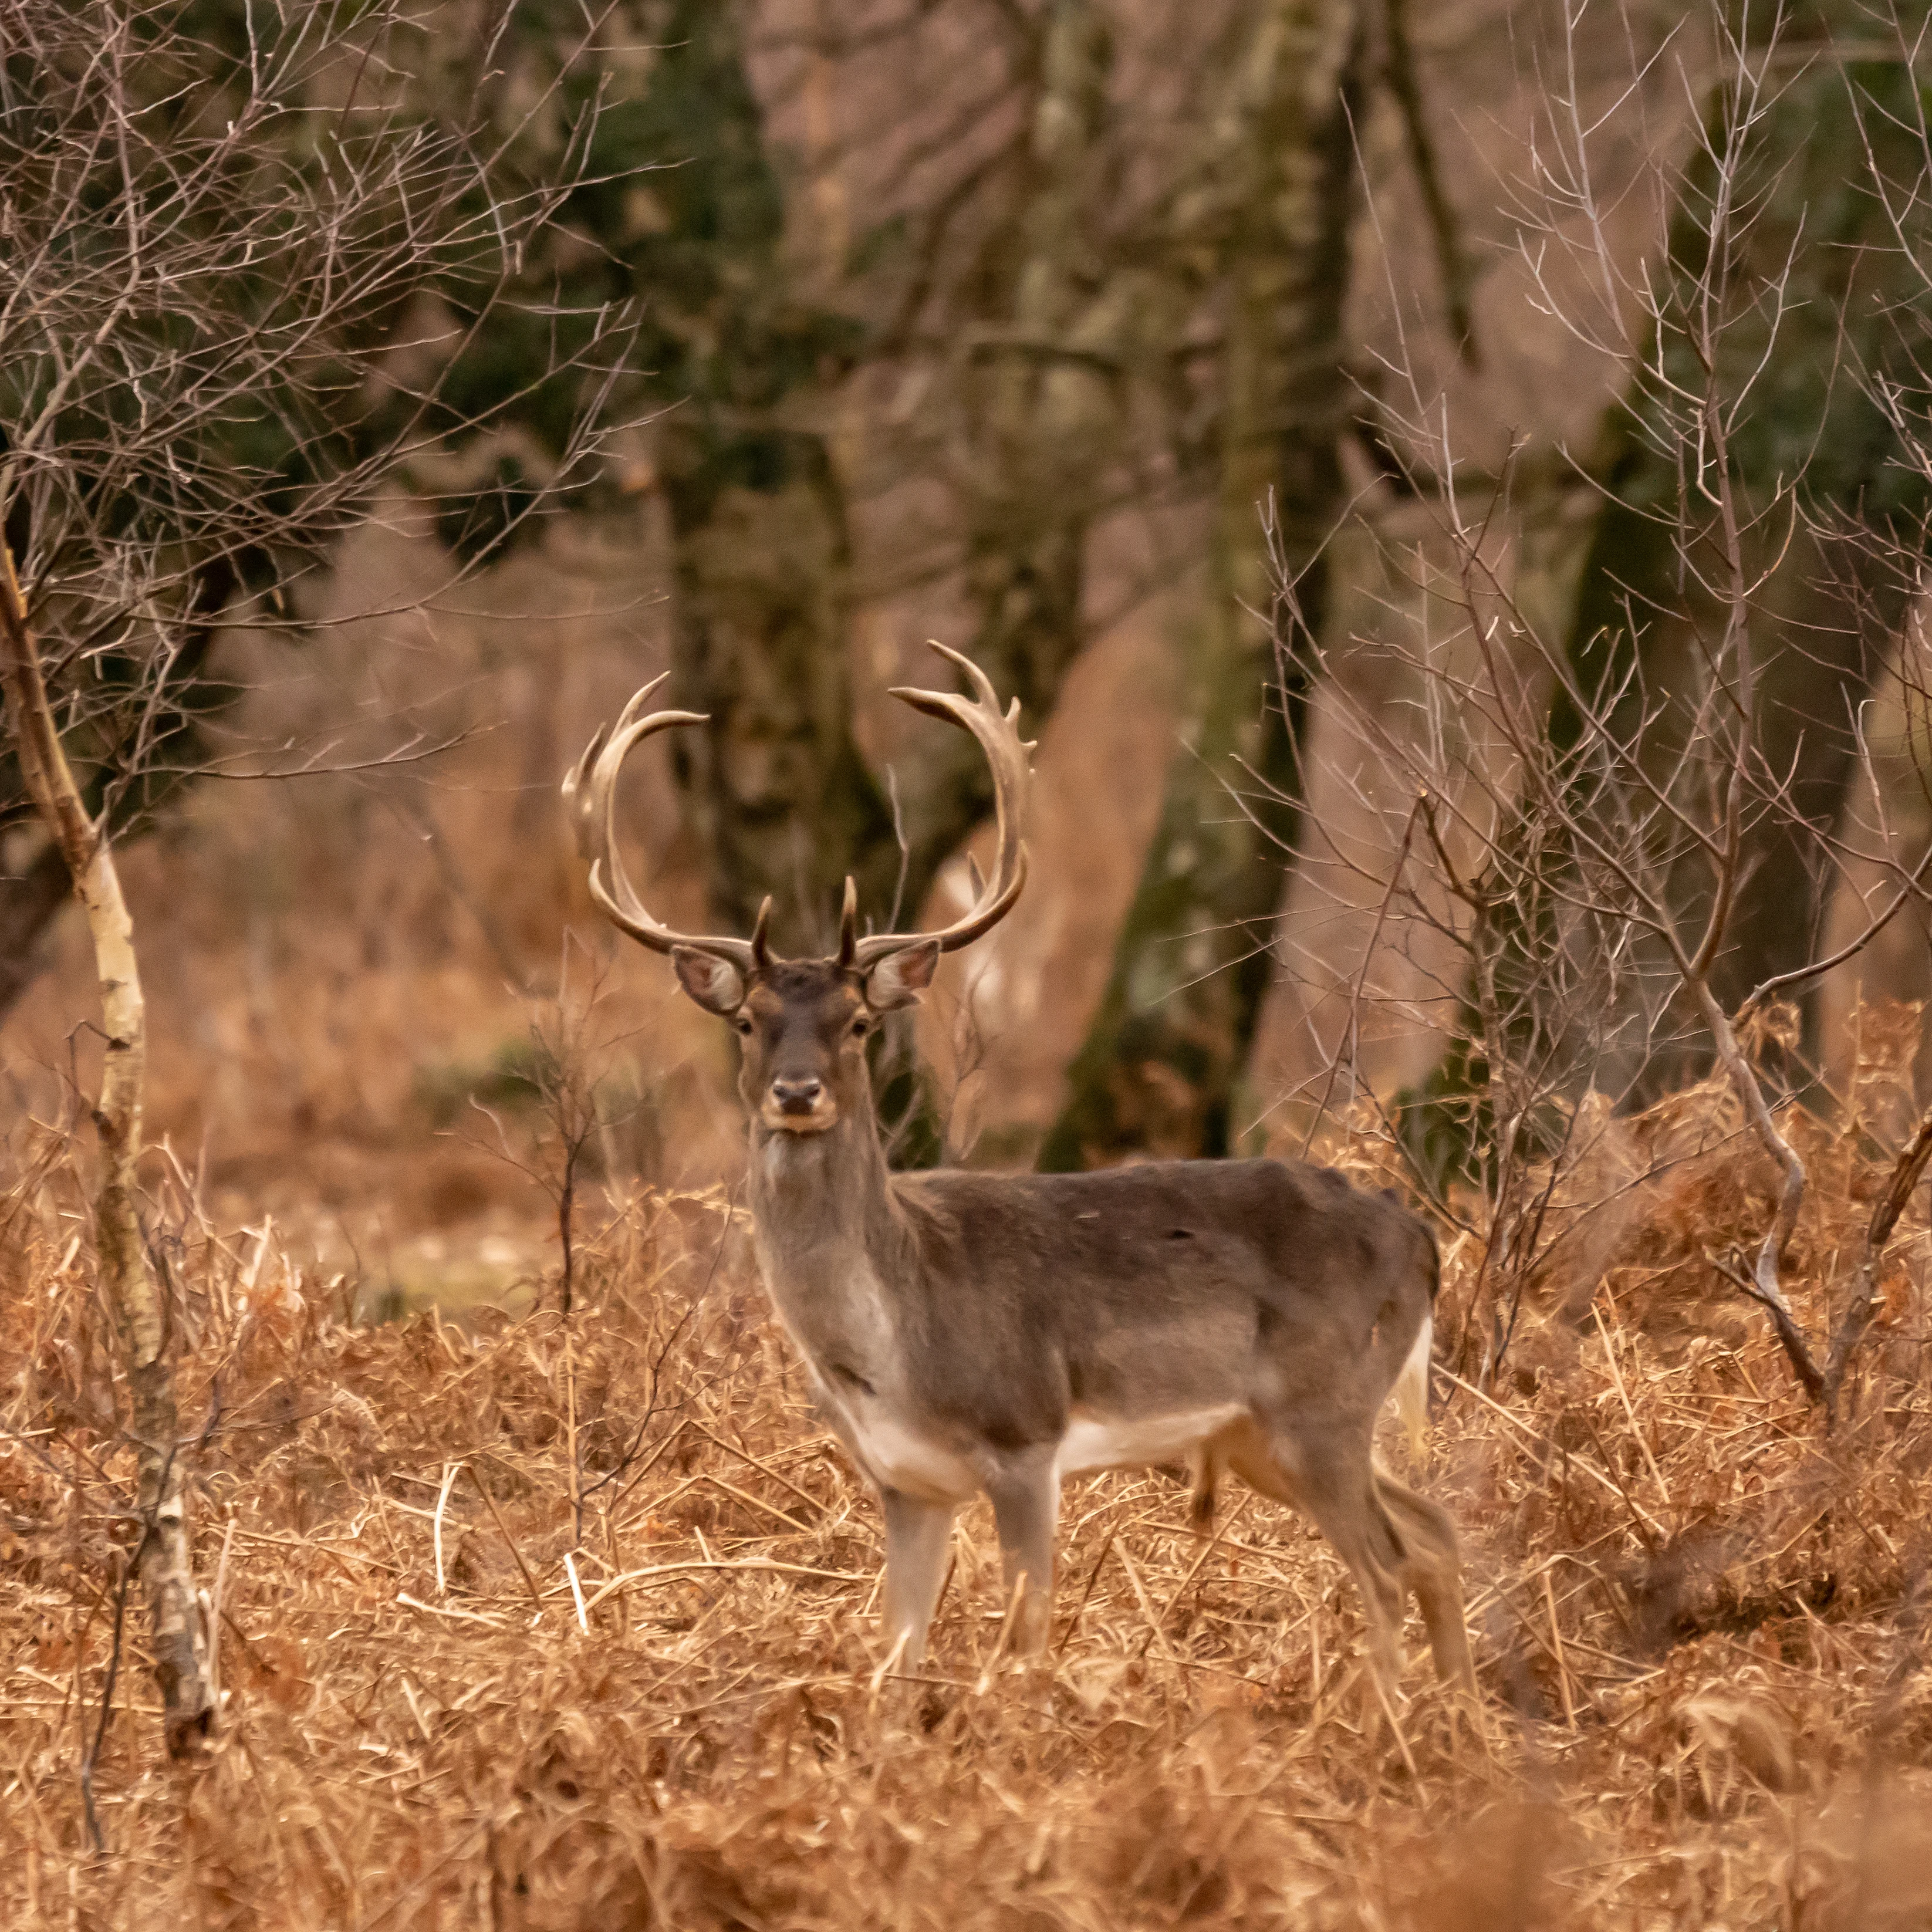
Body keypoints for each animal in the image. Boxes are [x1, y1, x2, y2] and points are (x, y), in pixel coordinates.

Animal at [564, 644, 1476, 1708]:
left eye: (858, 1024)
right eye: (747, 1020)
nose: (796, 1090)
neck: (894, 1338)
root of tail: (1420, 1238)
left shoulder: (1023, 1439)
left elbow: (1024, 1638)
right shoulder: (904, 1481)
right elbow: (894, 1654)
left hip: (1322, 1401)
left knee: (1387, 1563)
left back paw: (1395, 1725)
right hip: (1269, 1434)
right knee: (1434, 1533)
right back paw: (1461, 1717)